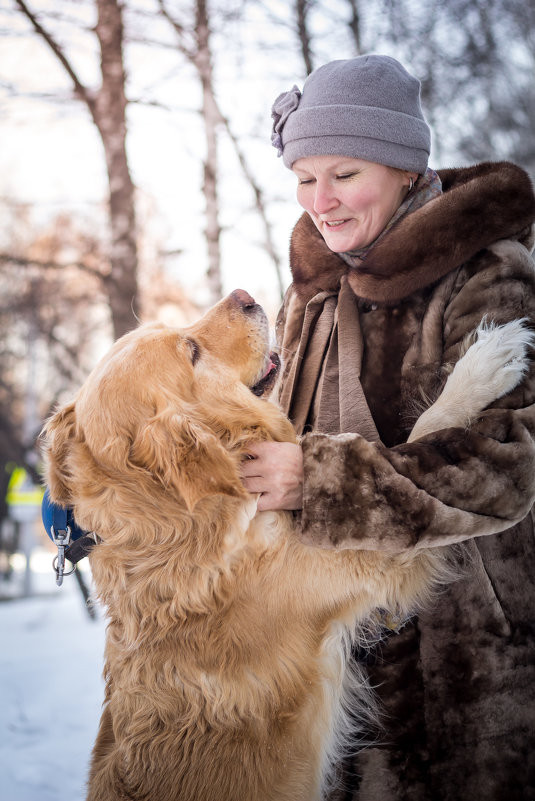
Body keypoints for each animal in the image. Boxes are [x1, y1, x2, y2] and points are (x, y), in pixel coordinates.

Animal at [44, 292, 532, 800]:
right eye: (192, 352)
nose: (244, 296)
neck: (178, 519)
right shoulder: (373, 549)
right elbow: (426, 430)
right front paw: (486, 364)